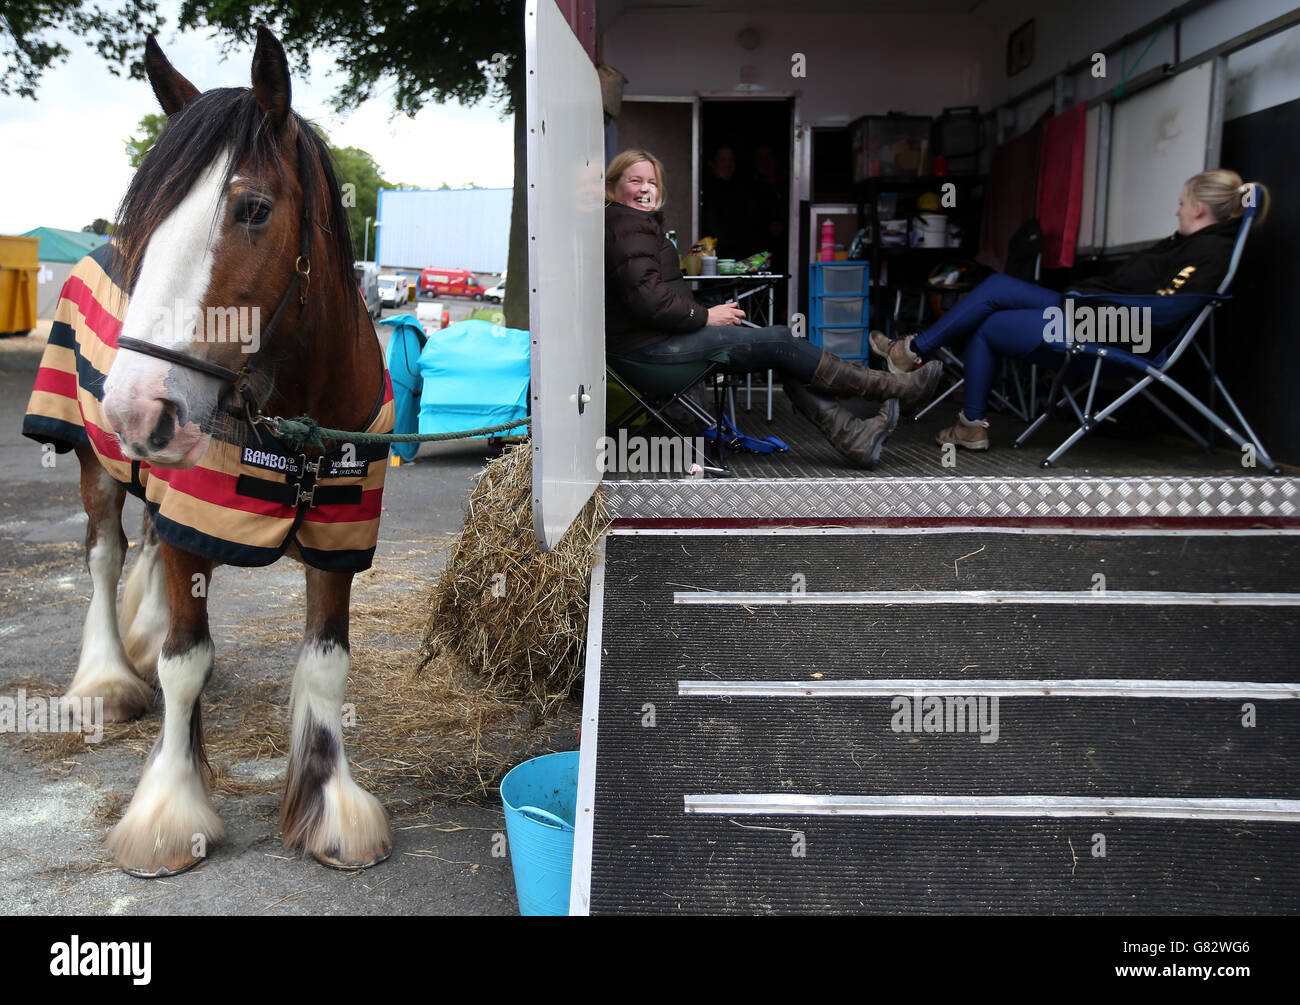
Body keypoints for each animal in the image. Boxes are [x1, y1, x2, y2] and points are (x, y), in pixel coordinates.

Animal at [21, 27, 395, 873]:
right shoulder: (194, 518)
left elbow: (327, 662)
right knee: (105, 556)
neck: (298, 426)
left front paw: (328, 804)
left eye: (253, 209)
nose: (134, 404)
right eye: (147, 221)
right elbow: (184, 664)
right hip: (95, 465)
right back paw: (106, 677)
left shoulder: (339, 534)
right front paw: (168, 808)